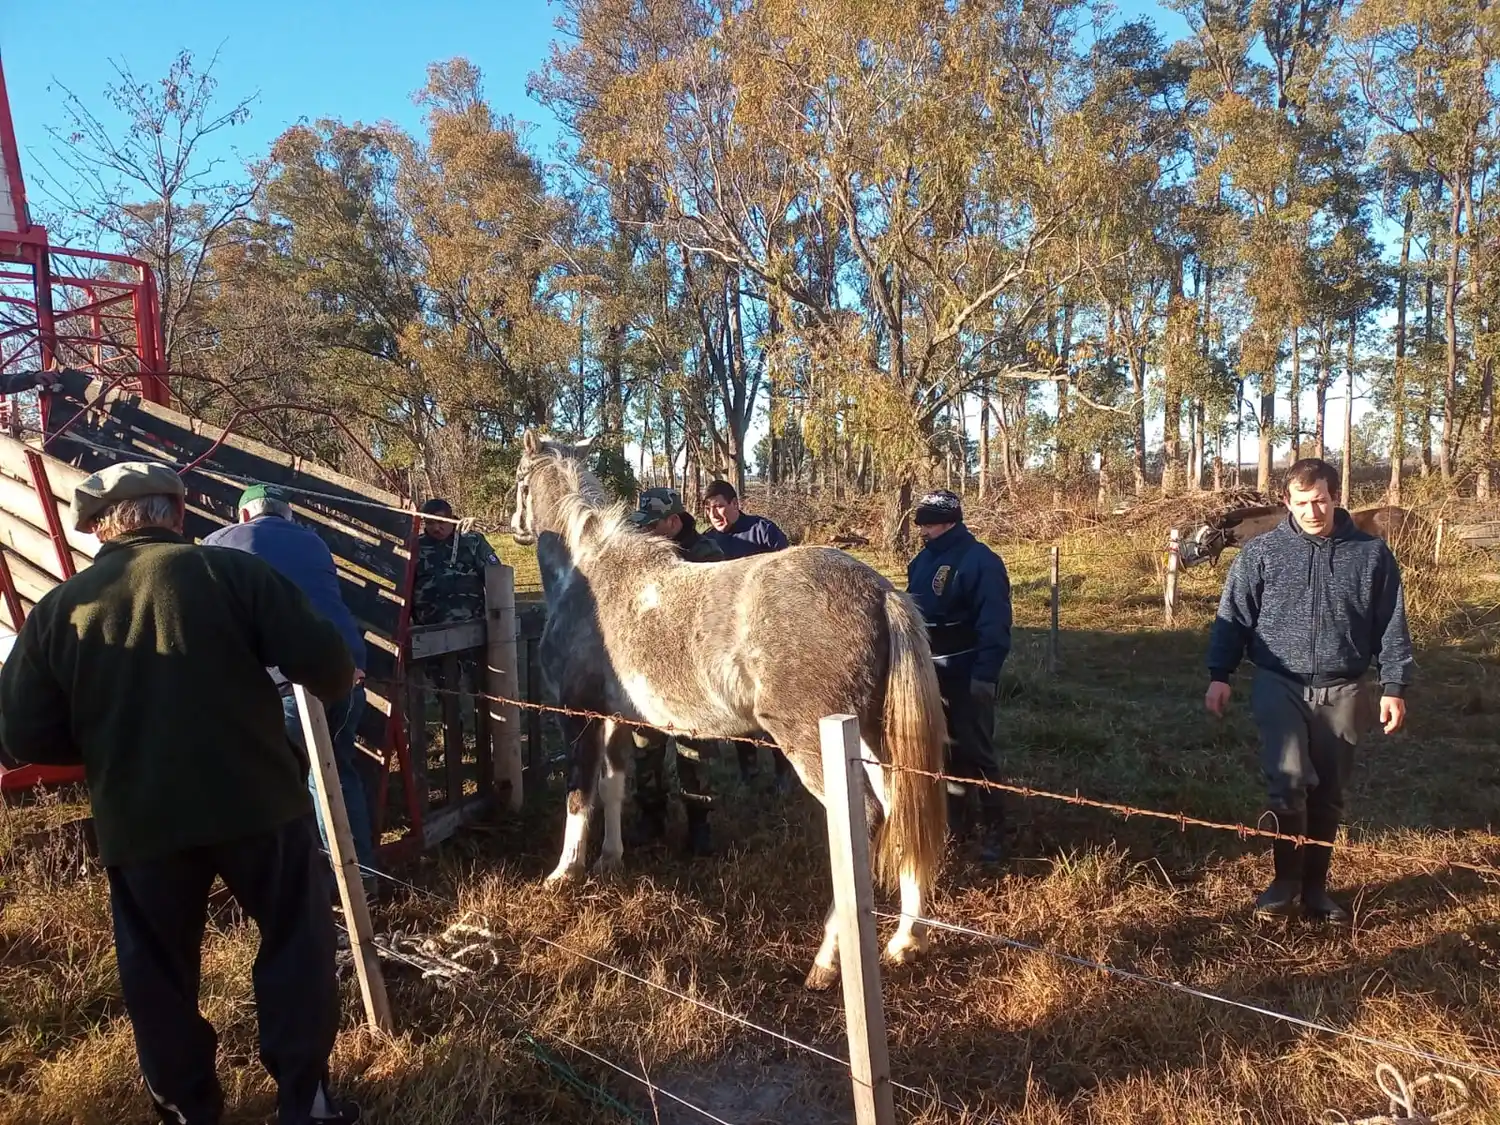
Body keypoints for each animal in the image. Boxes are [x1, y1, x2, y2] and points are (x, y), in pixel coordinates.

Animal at [508, 429, 949, 990]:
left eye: (520, 479)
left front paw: (564, 874)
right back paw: (906, 939)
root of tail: (882, 591)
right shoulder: (616, 720)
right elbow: (612, 787)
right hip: (871, 736)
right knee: (900, 806)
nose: (515, 526)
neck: (586, 571)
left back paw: (826, 961)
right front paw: (609, 859)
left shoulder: (578, 716)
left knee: (865, 819)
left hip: (813, 743)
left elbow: (577, 795)